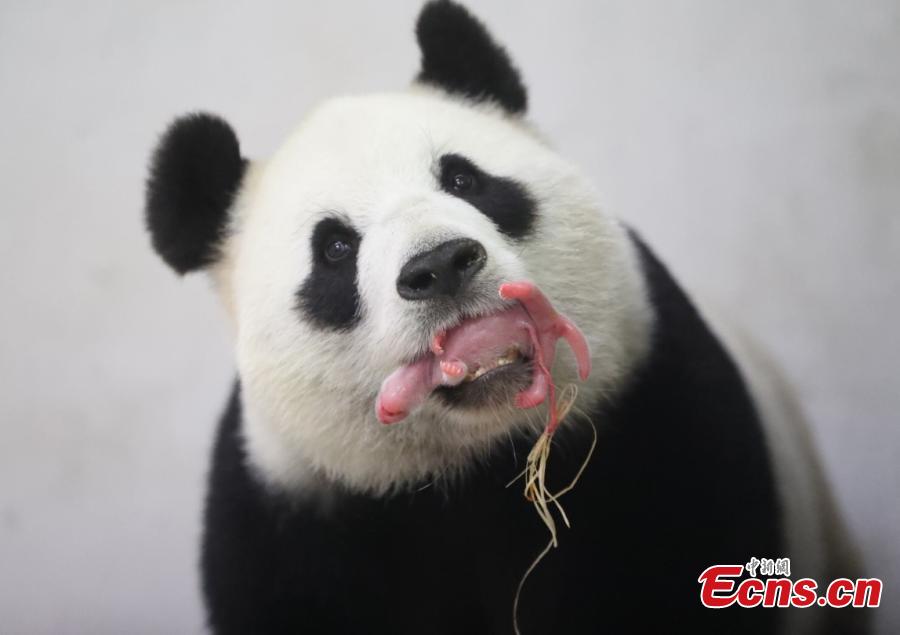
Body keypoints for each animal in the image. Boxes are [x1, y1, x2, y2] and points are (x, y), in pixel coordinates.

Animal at [144, 2, 864, 634]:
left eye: (464, 180)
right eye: (335, 249)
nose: (440, 265)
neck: (475, 464)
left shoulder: (653, 415)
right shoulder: (292, 513)